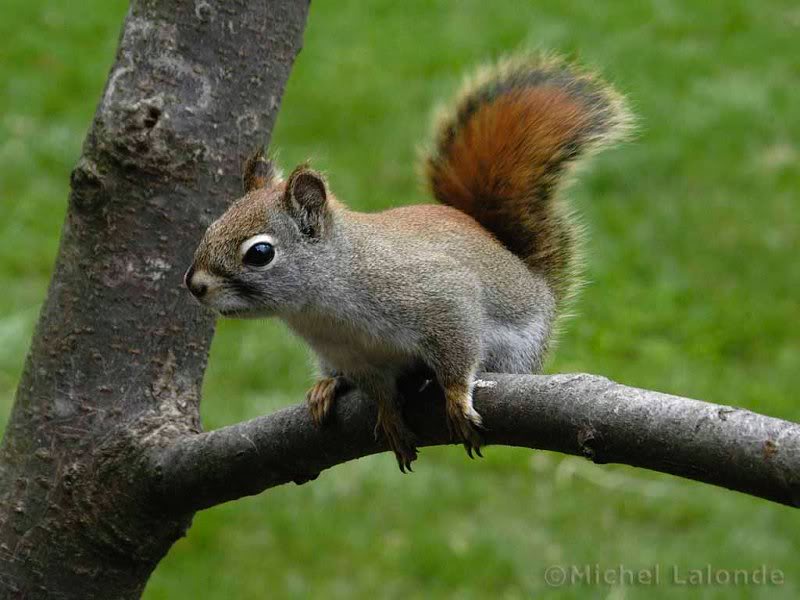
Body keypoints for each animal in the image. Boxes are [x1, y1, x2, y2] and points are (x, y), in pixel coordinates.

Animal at [185, 53, 631, 472]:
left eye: (260, 253)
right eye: (213, 224)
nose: (194, 285)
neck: (323, 306)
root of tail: (532, 279)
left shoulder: (437, 297)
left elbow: (457, 352)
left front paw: (455, 396)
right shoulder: (356, 357)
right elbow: (379, 391)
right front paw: (388, 417)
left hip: (516, 351)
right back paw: (327, 386)